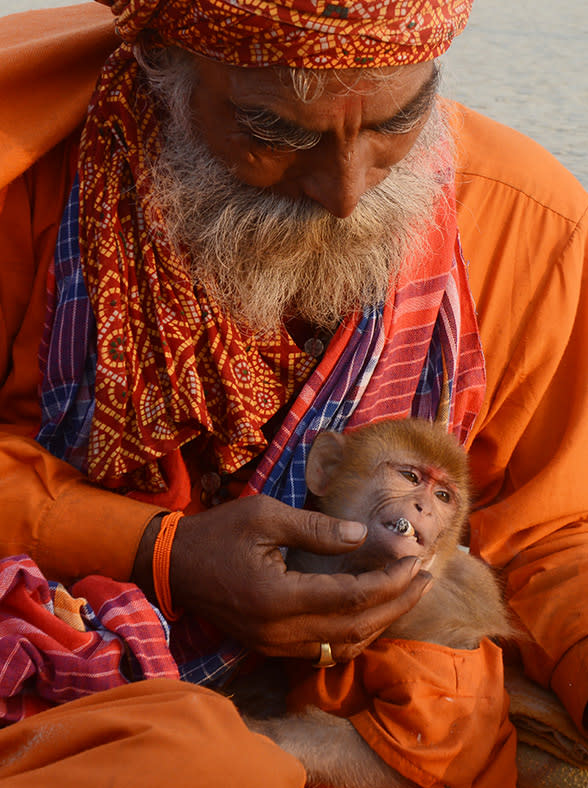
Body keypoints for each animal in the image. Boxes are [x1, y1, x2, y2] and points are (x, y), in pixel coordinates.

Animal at [241, 418, 512, 788]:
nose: (425, 509)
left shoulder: (447, 658)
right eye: (410, 477)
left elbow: (385, 765)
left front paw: (243, 731)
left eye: (442, 496)